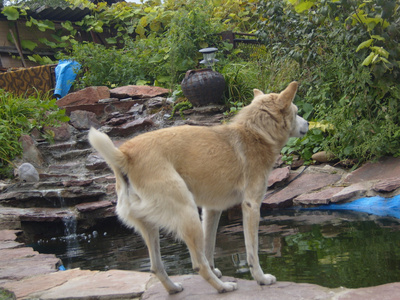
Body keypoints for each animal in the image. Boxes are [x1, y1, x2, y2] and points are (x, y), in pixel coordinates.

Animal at [89, 81, 310, 294]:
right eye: (296, 111)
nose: (308, 123)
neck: (256, 132)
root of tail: (125, 156)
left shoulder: (211, 210)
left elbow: (209, 246)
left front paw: (216, 269)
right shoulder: (251, 206)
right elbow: (252, 251)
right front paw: (261, 279)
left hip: (151, 226)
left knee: (157, 267)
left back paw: (174, 289)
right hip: (187, 214)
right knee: (197, 265)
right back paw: (223, 288)